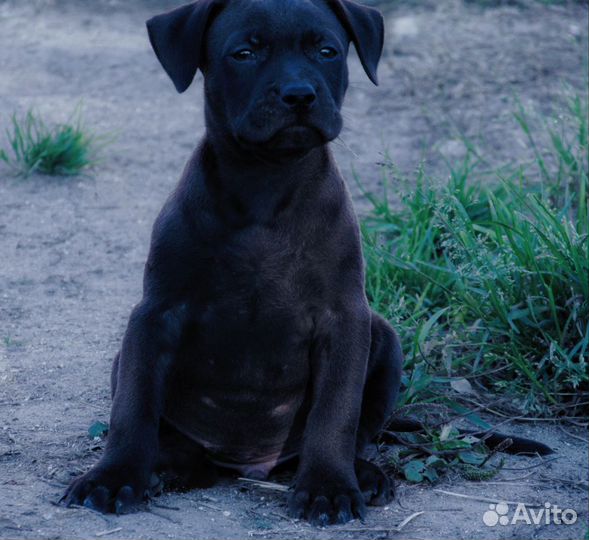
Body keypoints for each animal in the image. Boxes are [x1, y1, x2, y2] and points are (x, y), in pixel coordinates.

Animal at [64, 0, 404, 524]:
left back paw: (361, 474)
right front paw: (113, 476)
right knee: (169, 435)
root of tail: (248, 464)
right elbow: (133, 407)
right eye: (244, 53)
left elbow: (336, 411)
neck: (265, 180)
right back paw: (165, 466)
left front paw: (328, 487)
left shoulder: (345, 319)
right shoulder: (154, 315)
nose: (299, 94)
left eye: (327, 51)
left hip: (384, 339)